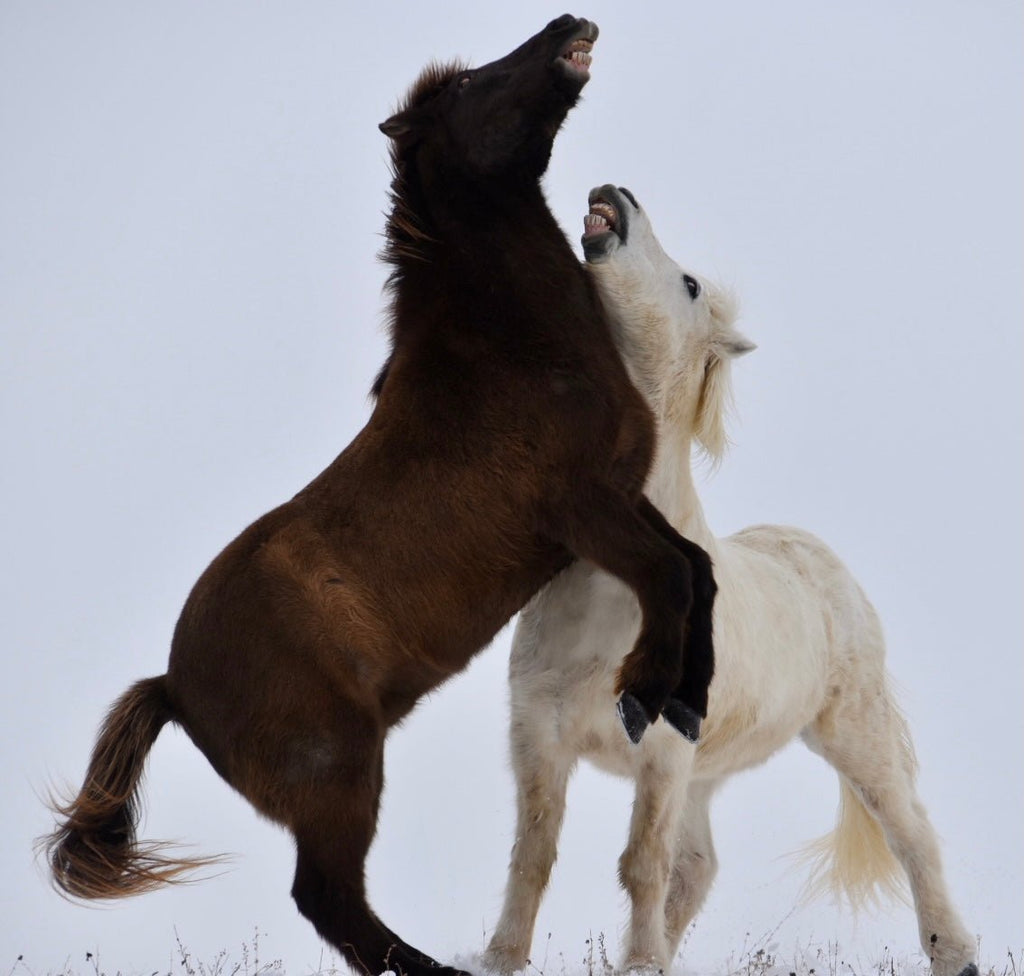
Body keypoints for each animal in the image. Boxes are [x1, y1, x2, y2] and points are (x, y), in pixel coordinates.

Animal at [44, 15, 716, 974]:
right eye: (470, 82)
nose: (570, 25)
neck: (514, 353)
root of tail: (172, 685)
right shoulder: (582, 508)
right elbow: (669, 575)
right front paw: (643, 694)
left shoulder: (618, 498)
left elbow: (696, 568)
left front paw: (687, 699)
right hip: (342, 779)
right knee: (329, 900)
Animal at [479, 184, 974, 974]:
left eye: (689, 285)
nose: (615, 197)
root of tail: (813, 554)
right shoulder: (541, 737)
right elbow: (533, 859)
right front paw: (500, 958)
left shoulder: (659, 754)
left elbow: (639, 866)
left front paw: (638, 966)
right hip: (704, 771)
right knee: (698, 869)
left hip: (849, 733)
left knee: (911, 835)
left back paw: (954, 951)